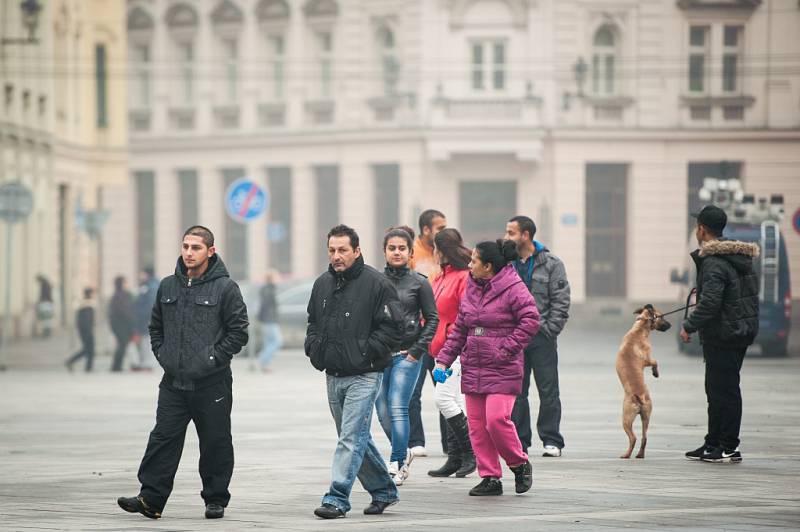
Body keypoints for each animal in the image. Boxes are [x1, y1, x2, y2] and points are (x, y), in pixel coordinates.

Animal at [620, 306, 668, 460]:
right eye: (661, 317)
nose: (670, 325)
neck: (639, 329)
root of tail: (640, 397)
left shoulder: (647, 360)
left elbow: (655, 362)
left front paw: (655, 373)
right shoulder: (647, 359)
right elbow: (655, 362)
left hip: (626, 418)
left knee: (633, 438)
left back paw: (626, 454)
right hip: (646, 417)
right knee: (644, 437)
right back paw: (640, 454)